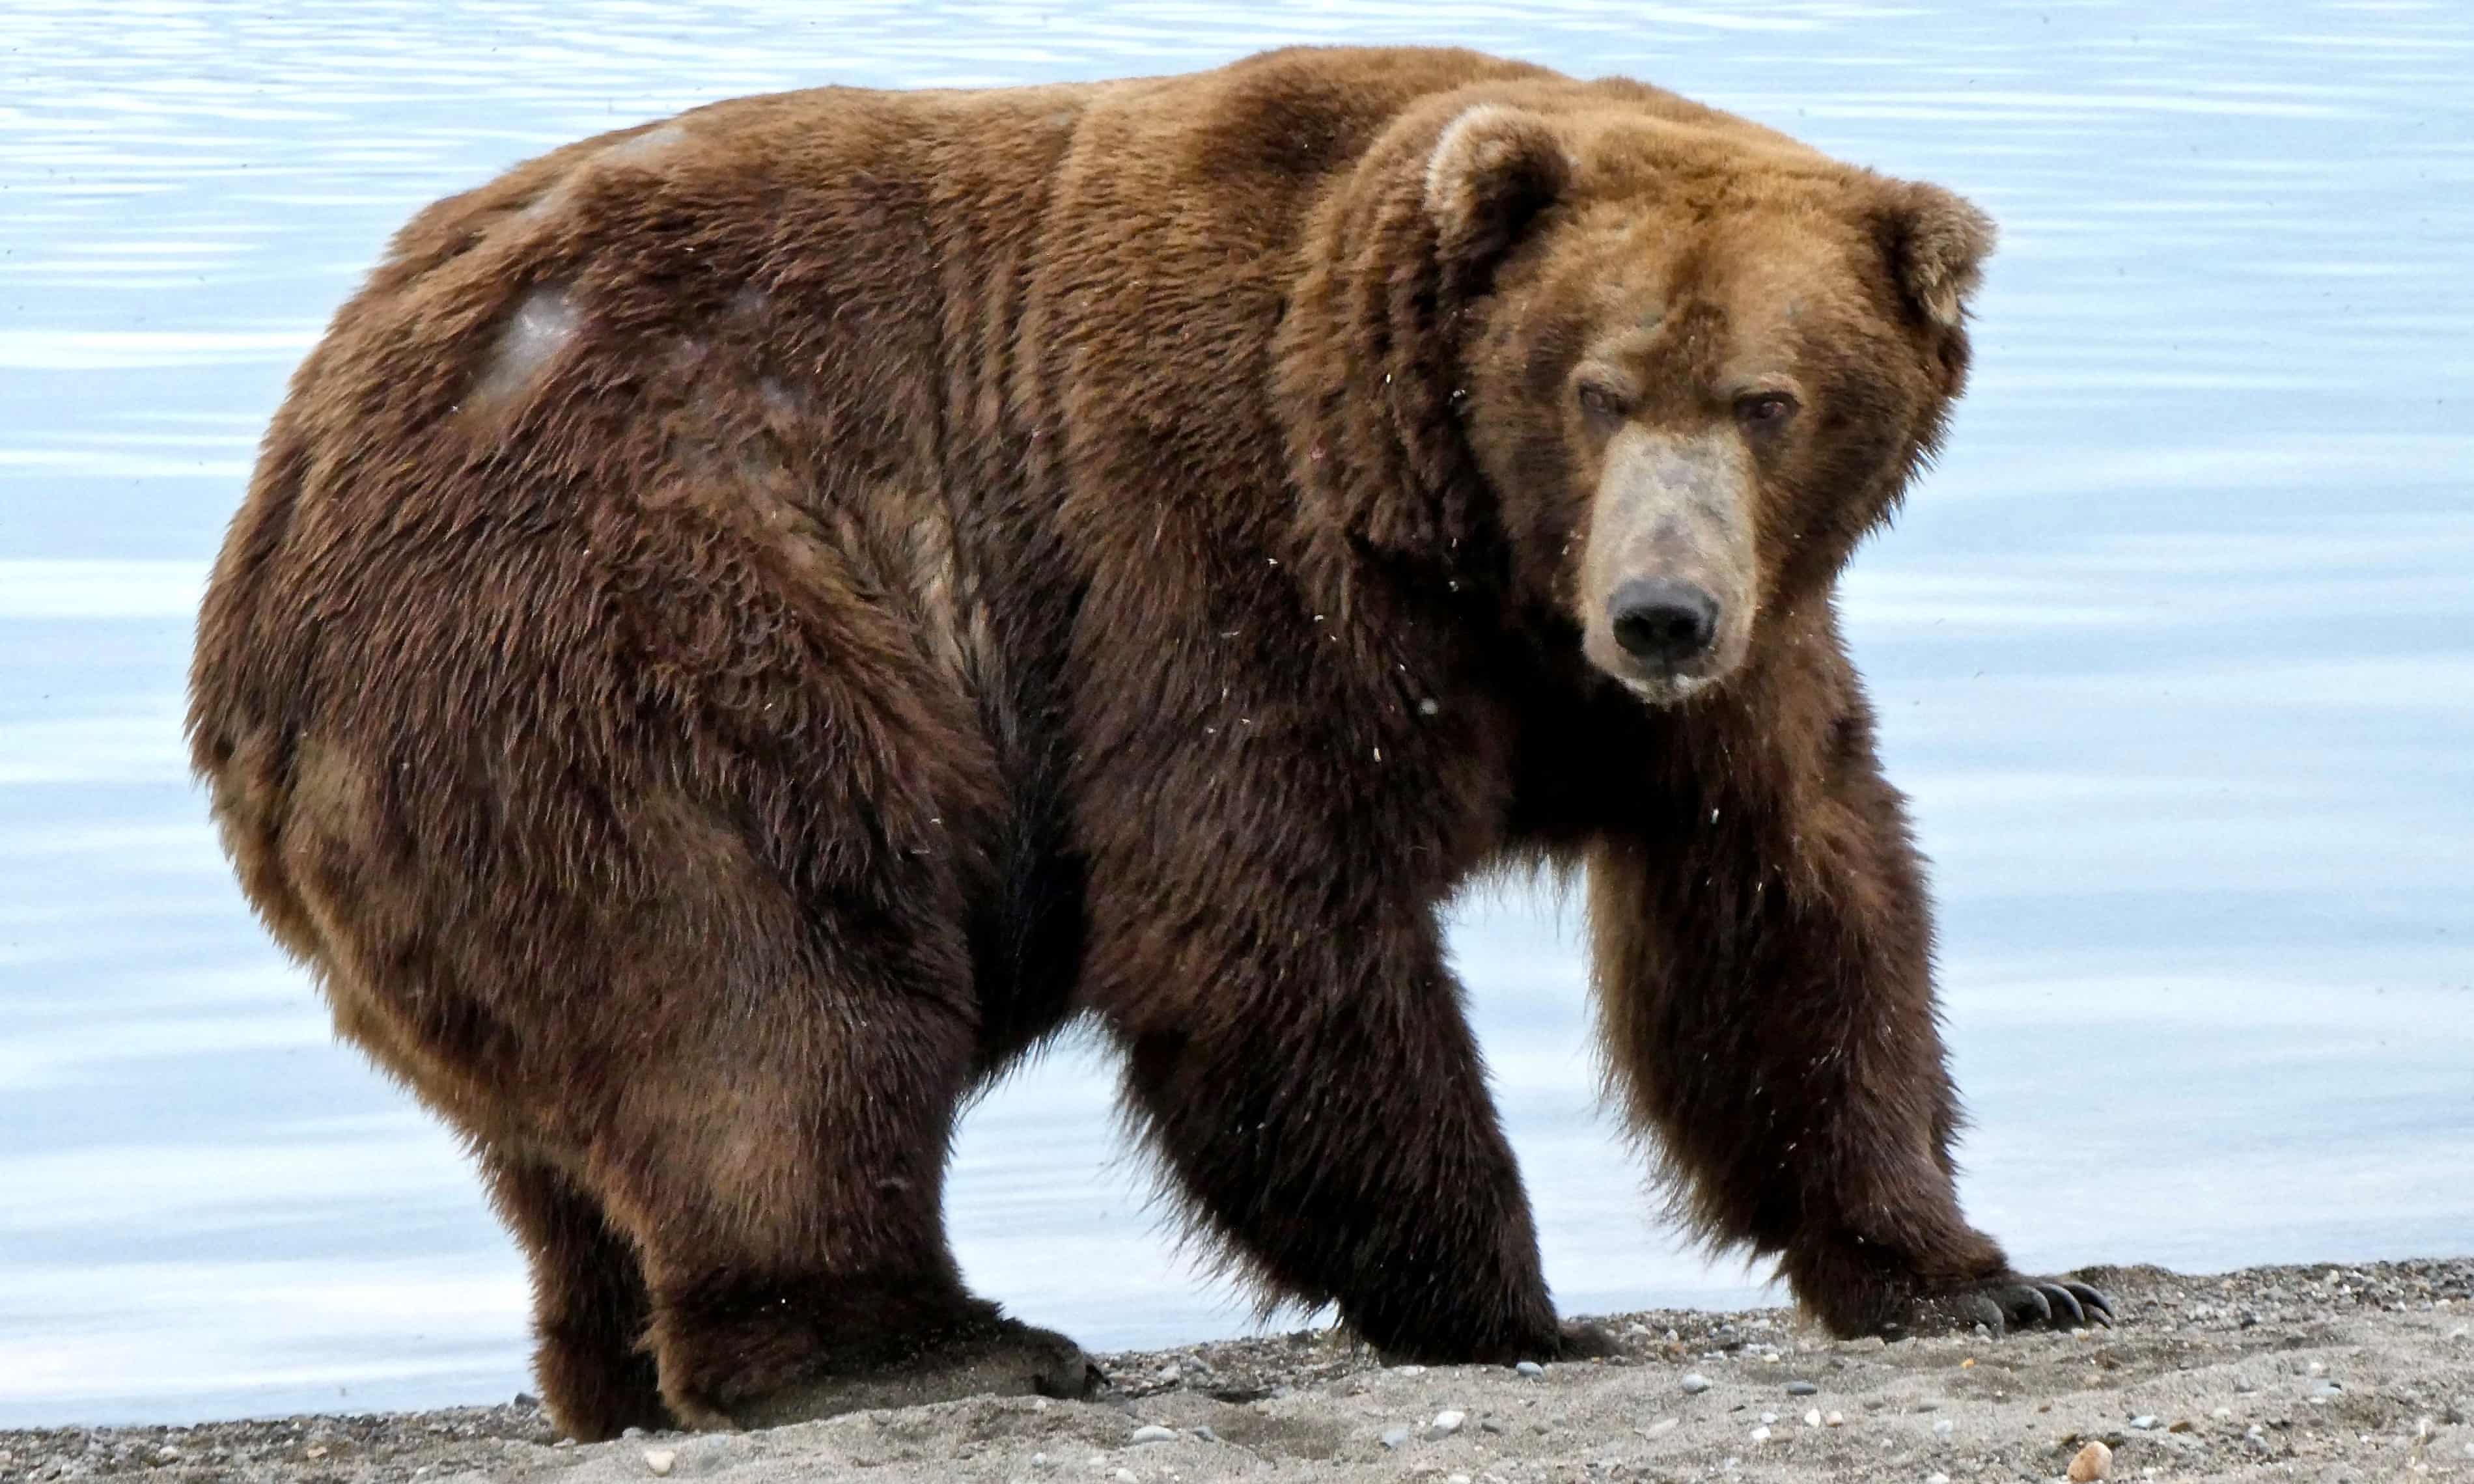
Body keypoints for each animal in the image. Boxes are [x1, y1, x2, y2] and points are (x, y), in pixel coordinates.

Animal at [188, 45, 2110, 1442]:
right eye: (1599, 386)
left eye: (1770, 399)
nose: (1659, 612)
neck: (1468, 548)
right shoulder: (1219, 531)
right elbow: (1254, 918)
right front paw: (1511, 1305)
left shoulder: (1729, 658)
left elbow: (1789, 907)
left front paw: (1980, 1271)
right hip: (635, 607)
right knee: (771, 976)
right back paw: (929, 1343)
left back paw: (620, 1374)